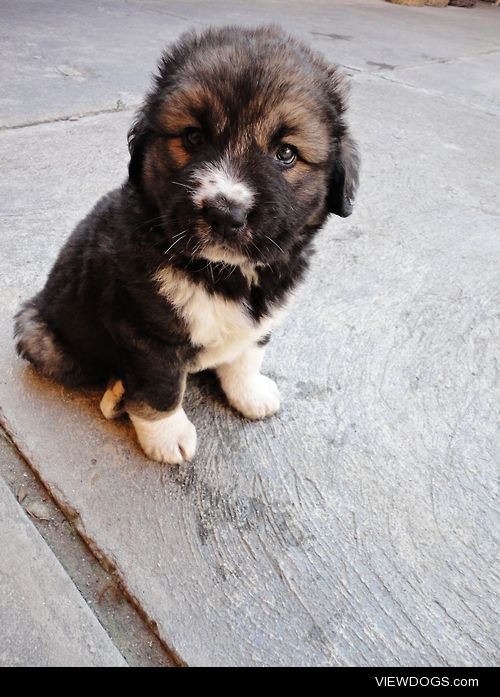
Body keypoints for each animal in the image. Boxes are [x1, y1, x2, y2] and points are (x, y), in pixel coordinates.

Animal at [14, 25, 360, 462]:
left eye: (285, 153)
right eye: (192, 136)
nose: (225, 214)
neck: (224, 273)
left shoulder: (261, 314)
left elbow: (247, 354)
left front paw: (250, 392)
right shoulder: (145, 332)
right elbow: (161, 386)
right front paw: (166, 436)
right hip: (41, 334)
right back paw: (117, 395)